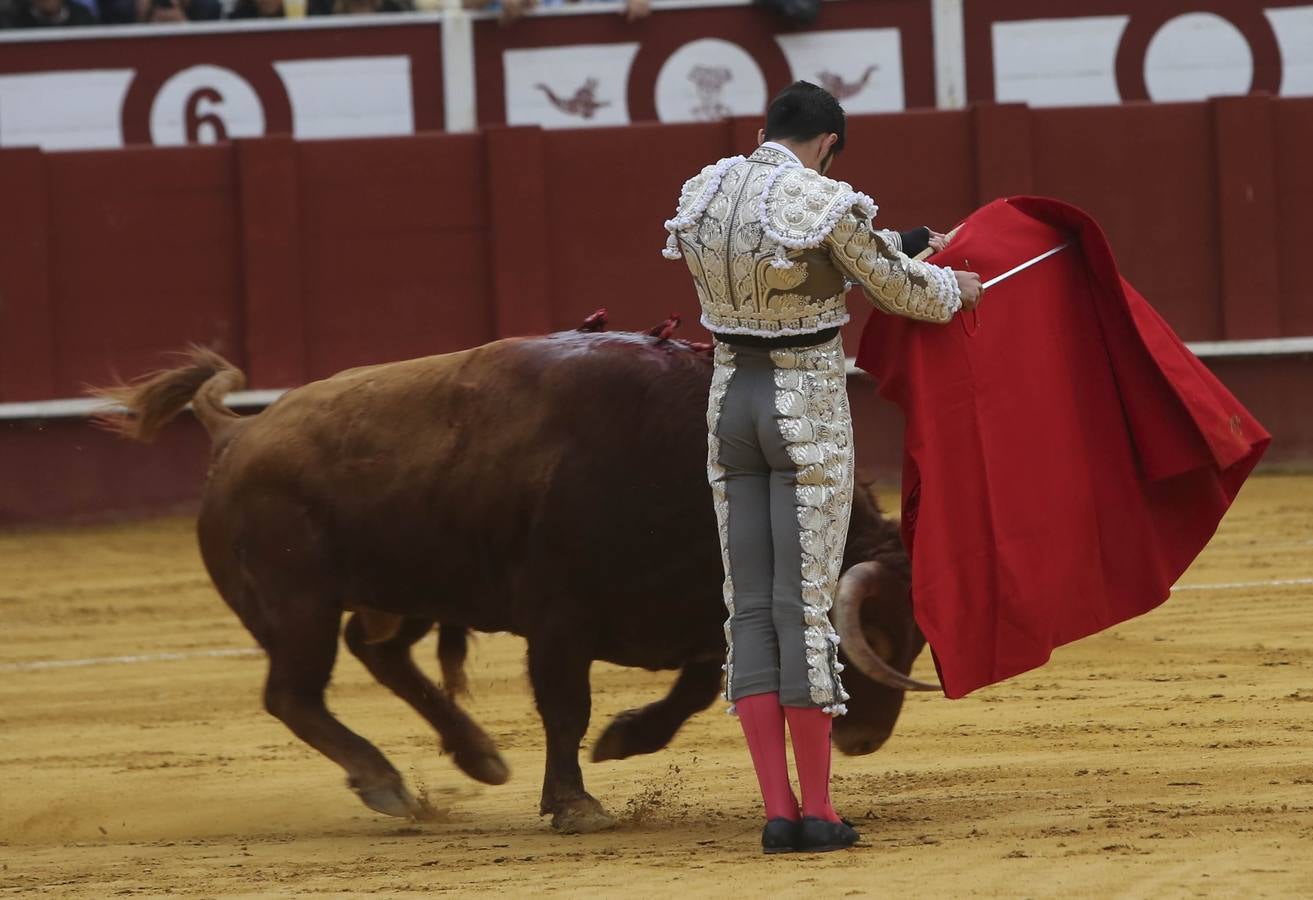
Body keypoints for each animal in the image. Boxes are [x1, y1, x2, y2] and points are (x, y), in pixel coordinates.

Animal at [99, 319, 934, 830]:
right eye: (871, 634)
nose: (862, 740)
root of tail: (234, 431)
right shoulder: (558, 621)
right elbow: (565, 708)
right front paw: (575, 804)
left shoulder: (698, 611)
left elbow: (693, 686)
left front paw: (624, 740)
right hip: (296, 605)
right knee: (293, 694)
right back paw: (384, 783)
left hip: (402, 585)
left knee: (377, 653)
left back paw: (477, 756)